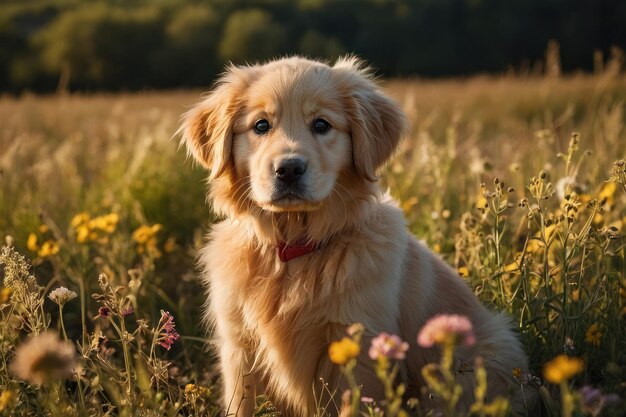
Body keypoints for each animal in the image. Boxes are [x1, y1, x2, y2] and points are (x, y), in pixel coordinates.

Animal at [180, 56, 528, 416]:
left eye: (321, 125)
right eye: (261, 126)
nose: (289, 169)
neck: (293, 251)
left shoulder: (359, 348)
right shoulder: (239, 348)